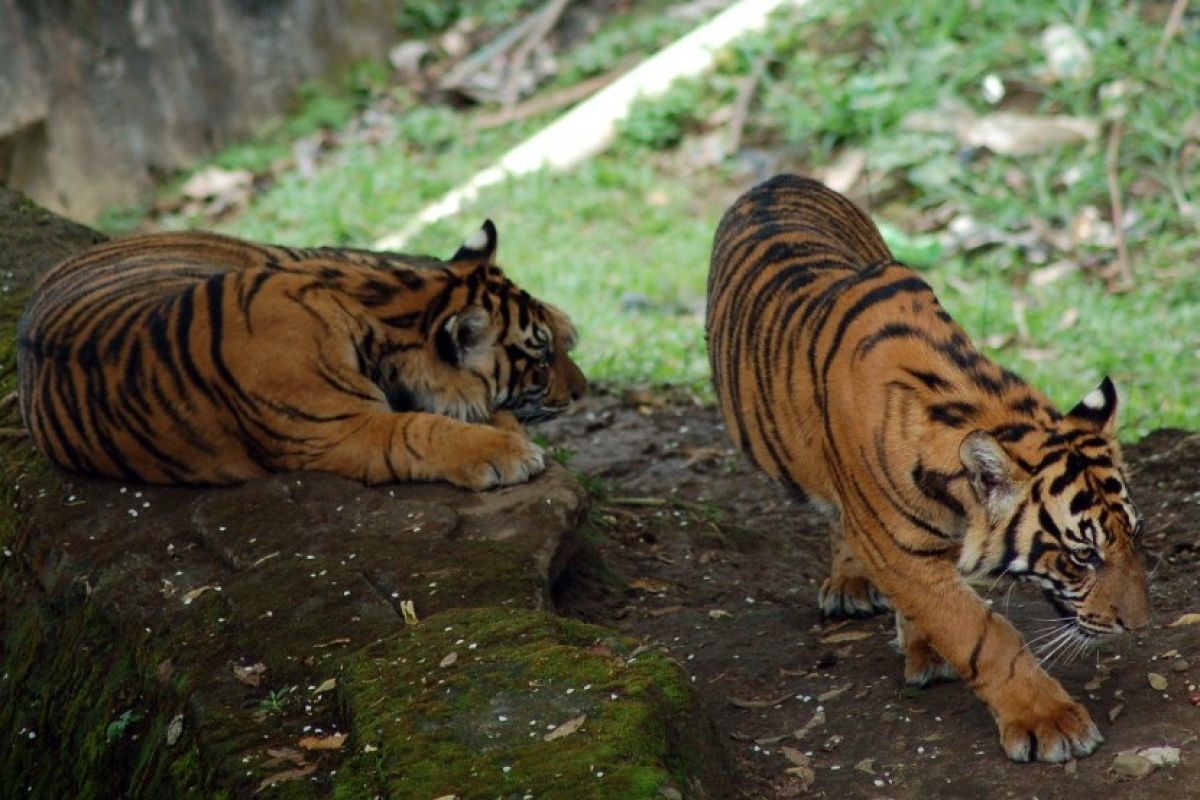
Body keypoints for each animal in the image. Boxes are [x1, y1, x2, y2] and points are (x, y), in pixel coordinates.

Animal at [705, 175, 1147, 762]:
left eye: (1133, 536)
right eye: (1081, 556)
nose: (1139, 626)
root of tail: (780, 178)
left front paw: (926, 649)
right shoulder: (898, 550)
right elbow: (982, 633)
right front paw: (1050, 722)